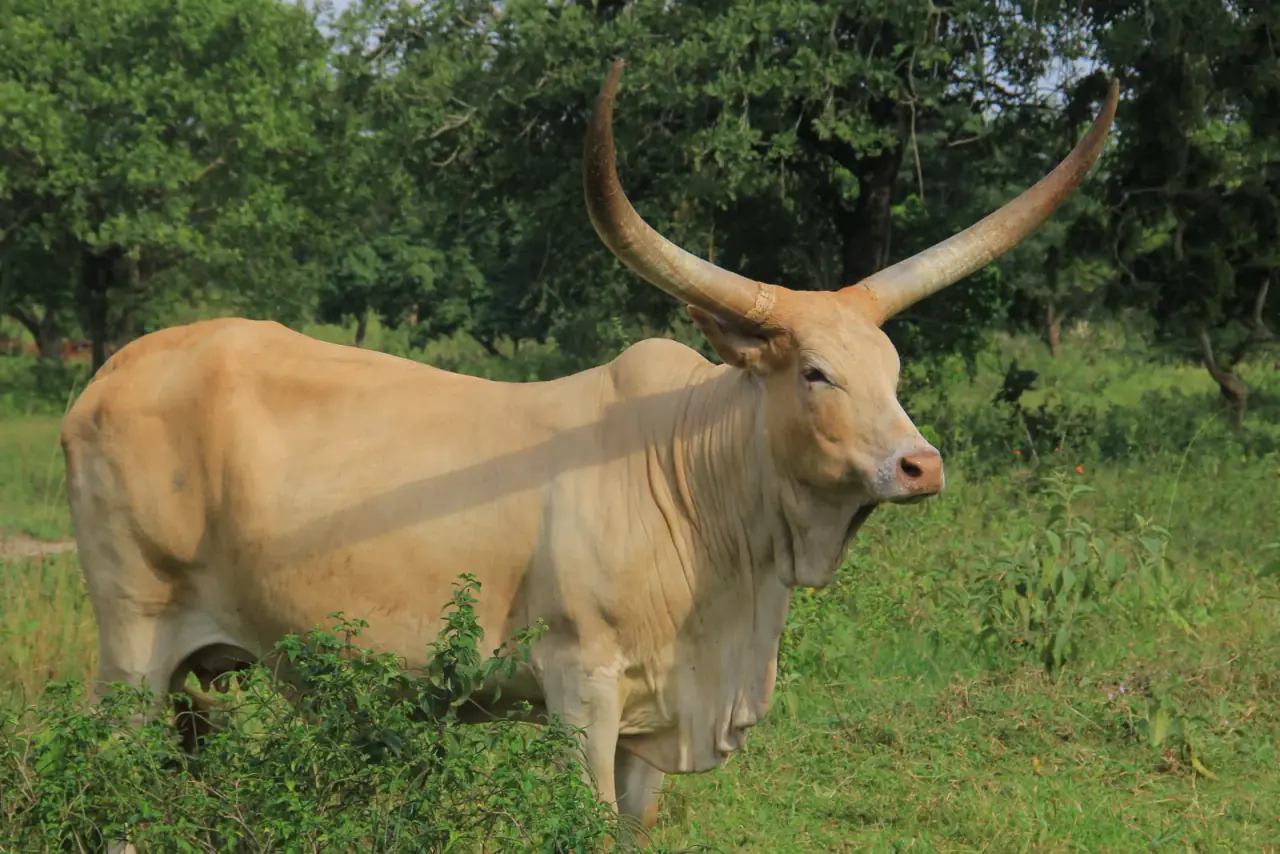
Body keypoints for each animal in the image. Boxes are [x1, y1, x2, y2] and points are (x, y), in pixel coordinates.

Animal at [61, 60, 1118, 835]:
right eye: (816, 372)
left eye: (894, 367)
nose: (918, 463)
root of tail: (111, 374)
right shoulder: (581, 682)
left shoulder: (654, 730)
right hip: (132, 645)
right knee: (112, 781)